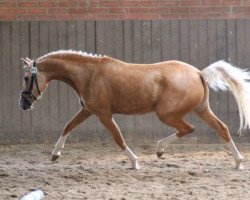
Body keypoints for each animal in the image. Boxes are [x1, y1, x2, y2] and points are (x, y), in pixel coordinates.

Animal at [20, 50, 250, 170]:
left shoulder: (104, 114)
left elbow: (118, 138)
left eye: (26, 77)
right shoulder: (88, 111)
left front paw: (135, 162)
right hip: (201, 110)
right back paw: (238, 162)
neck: (90, 74)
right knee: (222, 129)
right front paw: (54, 154)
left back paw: (159, 149)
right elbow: (68, 126)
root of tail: (198, 73)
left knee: (189, 129)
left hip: (167, 114)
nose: (23, 104)